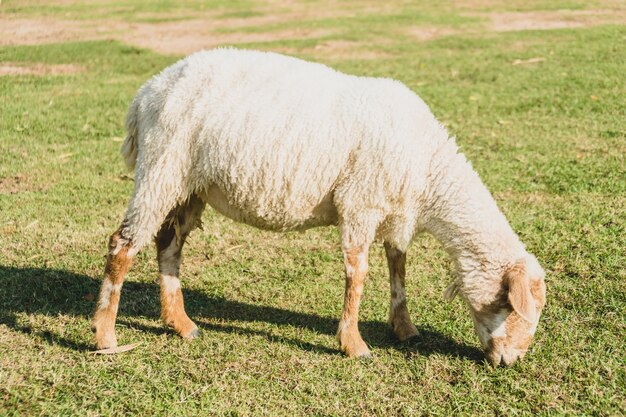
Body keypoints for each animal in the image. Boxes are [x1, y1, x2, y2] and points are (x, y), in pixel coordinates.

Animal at [90, 48, 544, 364]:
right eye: (512, 306)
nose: (510, 361)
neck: (431, 171)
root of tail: (146, 92)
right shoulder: (361, 201)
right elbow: (358, 273)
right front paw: (354, 344)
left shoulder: (393, 209)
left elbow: (398, 266)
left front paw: (404, 327)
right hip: (161, 166)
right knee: (122, 245)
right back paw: (106, 336)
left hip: (189, 184)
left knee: (168, 244)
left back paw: (181, 324)